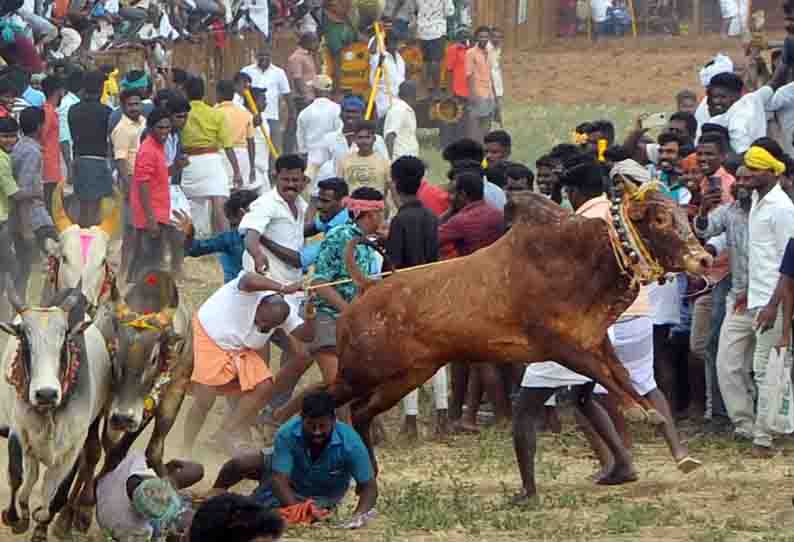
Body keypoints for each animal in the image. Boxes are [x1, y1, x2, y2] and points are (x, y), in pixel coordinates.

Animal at [0, 286, 112, 540]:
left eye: (64, 338)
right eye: (24, 337)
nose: (46, 393)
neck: (49, 412)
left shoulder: (71, 449)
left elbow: (55, 492)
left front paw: (41, 526)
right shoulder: (19, 433)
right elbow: (17, 476)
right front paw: (14, 517)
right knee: (29, 477)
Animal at [322, 176, 712, 470]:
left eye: (682, 213)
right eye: (659, 219)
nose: (705, 259)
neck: (588, 258)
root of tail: (366, 291)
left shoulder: (594, 340)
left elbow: (622, 376)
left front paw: (650, 415)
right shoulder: (561, 346)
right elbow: (609, 378)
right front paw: (641, 413)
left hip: (405, 376)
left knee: (359, 412)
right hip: (361, 373)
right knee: (325, 400)